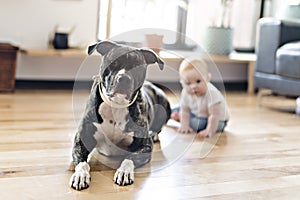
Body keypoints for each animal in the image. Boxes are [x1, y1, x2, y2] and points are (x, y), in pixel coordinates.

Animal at [68, 40, 171, 191]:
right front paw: (80, 175)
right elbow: (82, 162)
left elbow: (129, 158)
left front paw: (124, 172)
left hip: (164, 104)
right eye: (114, 62)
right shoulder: (82, 141)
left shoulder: (145, 147)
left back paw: (155, 134)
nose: (124, 78)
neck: (117, 104)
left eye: (137, 66)